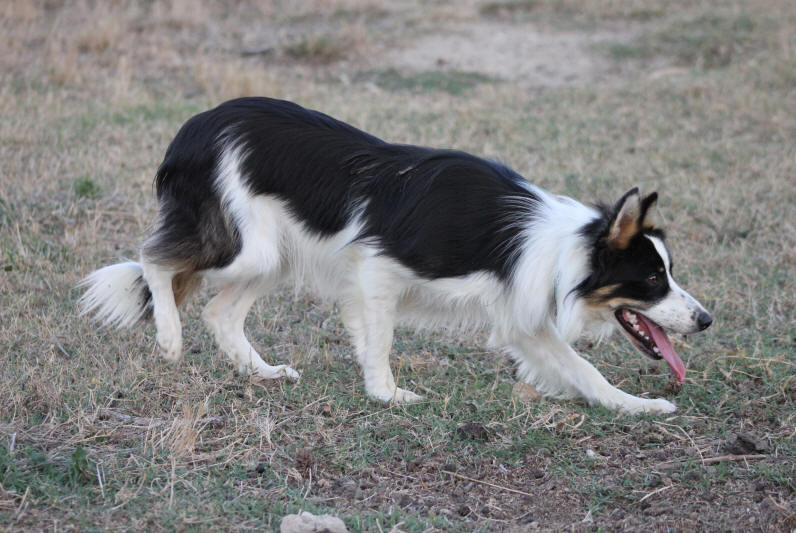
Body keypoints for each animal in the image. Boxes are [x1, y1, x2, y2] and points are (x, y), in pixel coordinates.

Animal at [81, 98, 712, 416]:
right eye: (652, 278)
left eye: (668, 272)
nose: (706, 320)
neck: (557, 243)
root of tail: (196, 123)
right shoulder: (380, 267)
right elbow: (380, 341)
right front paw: (387, 395)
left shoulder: (521, 315)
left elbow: (583, 370)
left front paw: (637, 407)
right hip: (244, 246)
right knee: (157, 261)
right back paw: (169, 337)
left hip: (273, 255)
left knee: (219, 311)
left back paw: (262, 373)